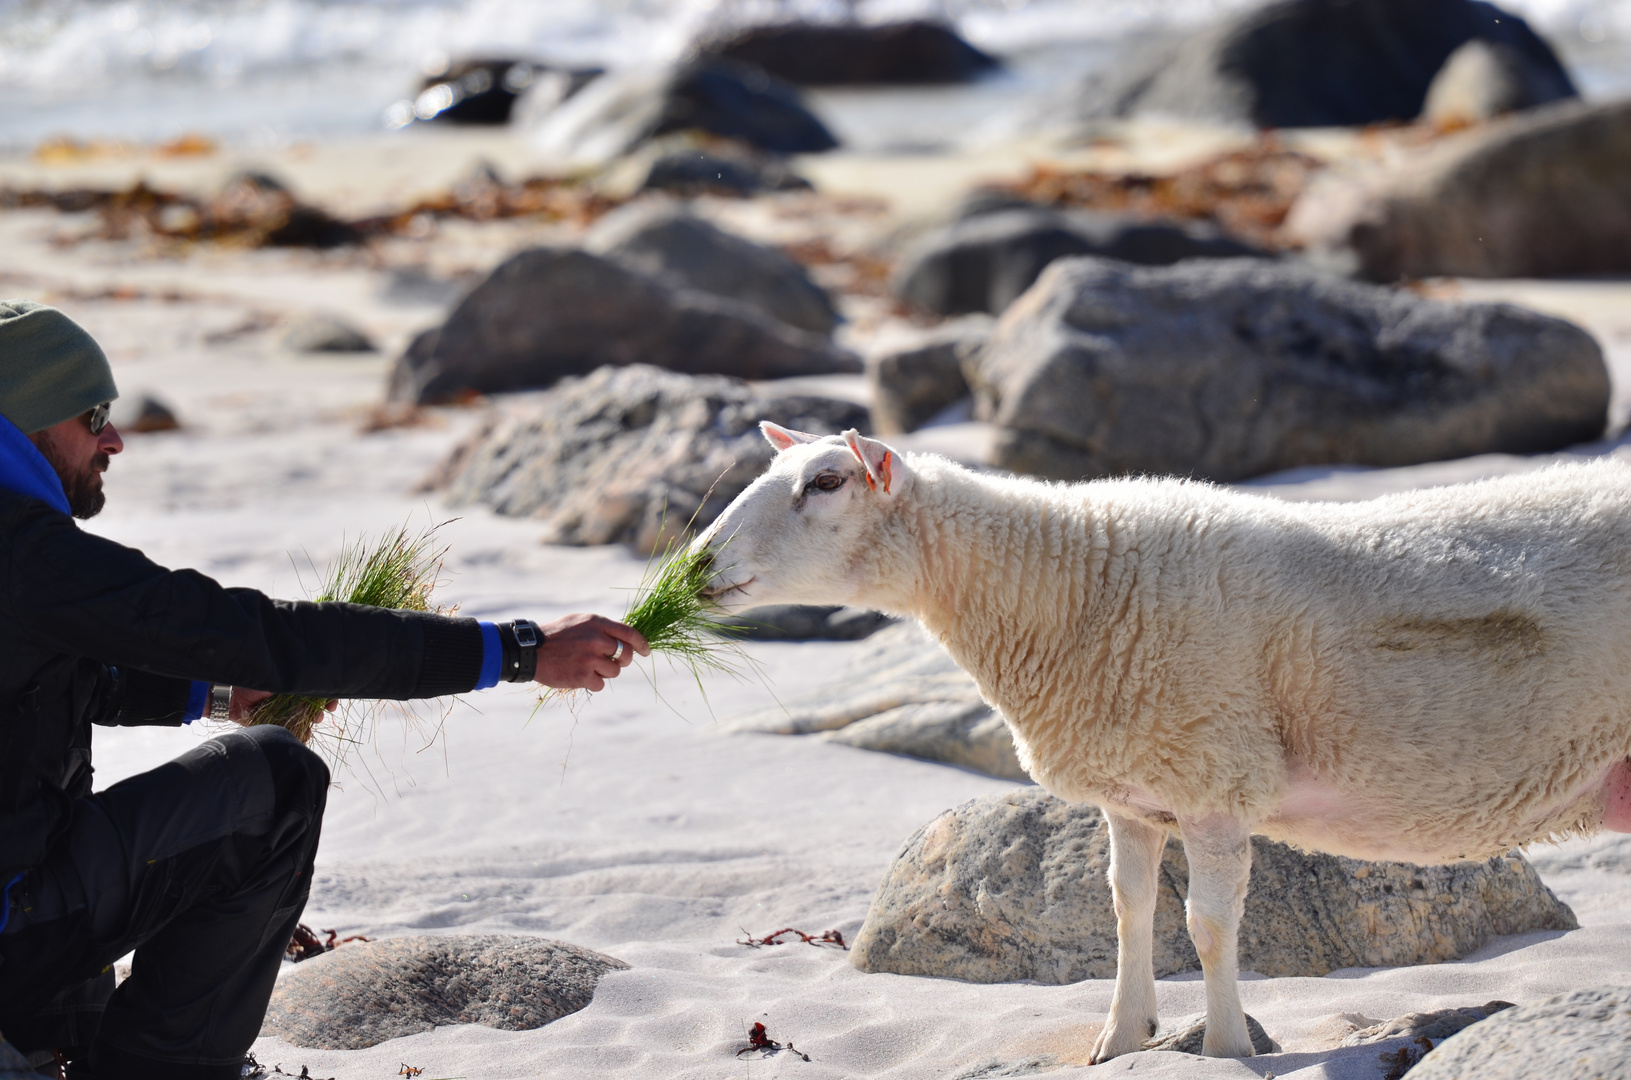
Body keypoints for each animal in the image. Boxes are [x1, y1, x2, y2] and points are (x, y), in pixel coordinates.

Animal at [698, 424, 1631, 1063]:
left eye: (825, 482)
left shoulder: (1214, 775)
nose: (697, 568)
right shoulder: (1135, 793)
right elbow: (1128, 909)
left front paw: (1224, 1051)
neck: (1067, 584)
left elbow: (1207, 926)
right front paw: (1121, 1037)